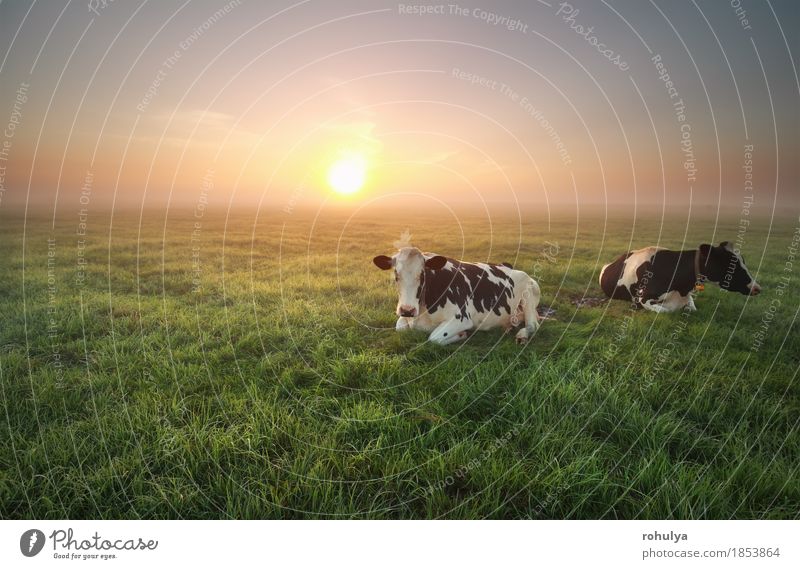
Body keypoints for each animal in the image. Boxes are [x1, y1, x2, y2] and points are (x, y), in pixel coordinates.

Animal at [372, 246, 540, 344]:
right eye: (396, 274)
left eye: (422, 274)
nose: (407, 310)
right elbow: (400, 327)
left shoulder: (461, 318)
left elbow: (434, 338)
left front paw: (462, 335)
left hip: (530, 292)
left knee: (533, 324)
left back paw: (522, 335)